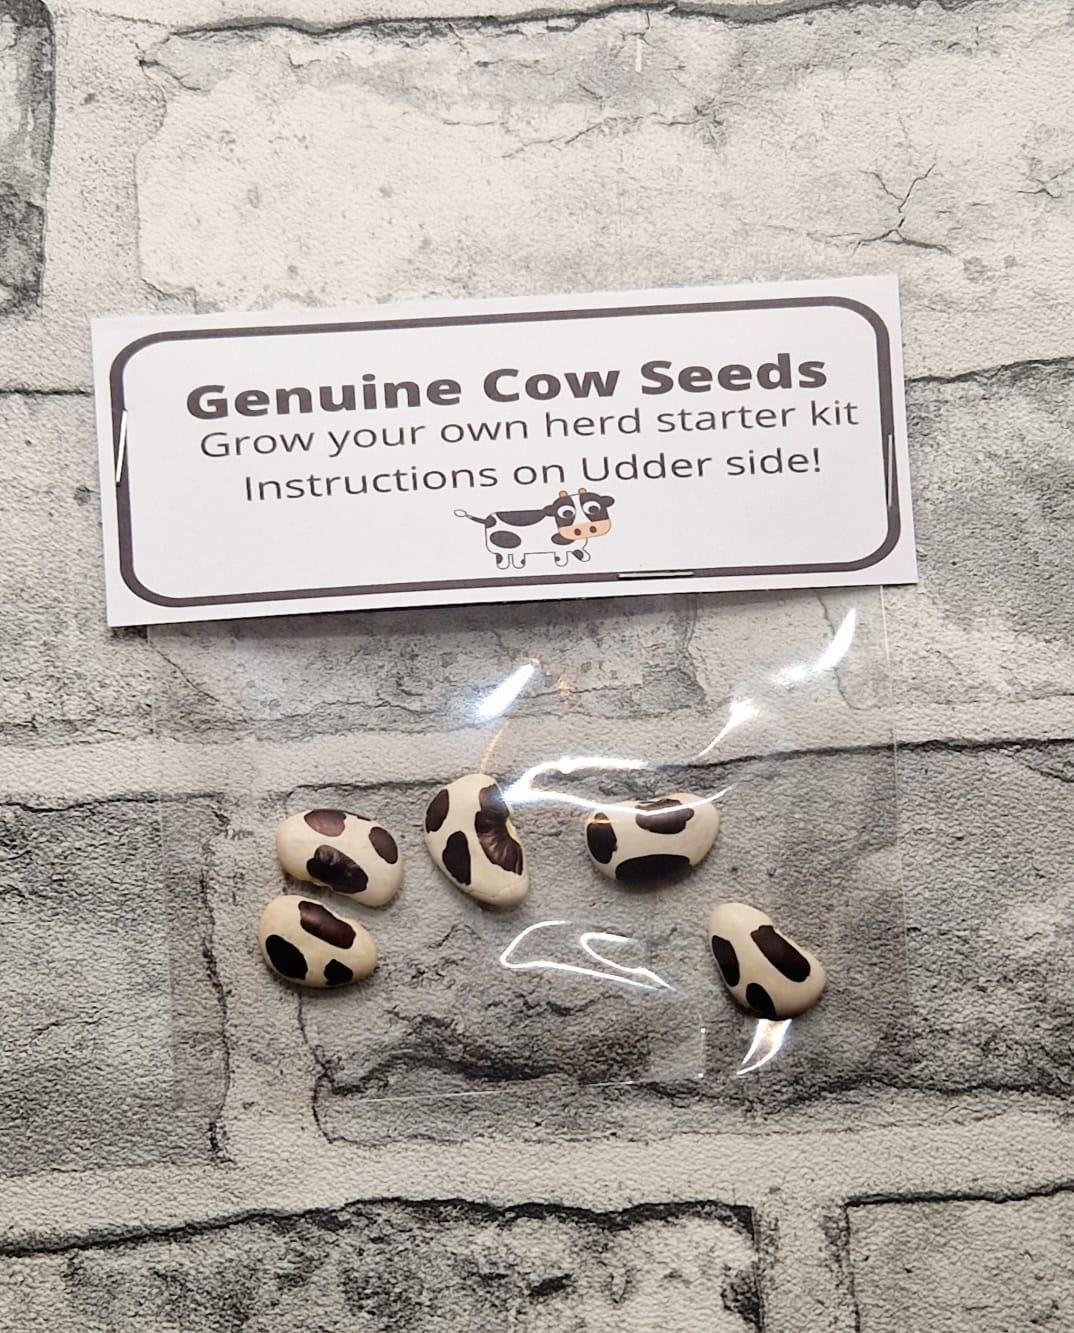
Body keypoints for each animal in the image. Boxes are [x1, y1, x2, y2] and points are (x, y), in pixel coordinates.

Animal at [455, 488, 615, 570]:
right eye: (566, 513)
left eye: (594, 508)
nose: (586, 528)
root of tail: (487, 519)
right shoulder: (559, 548)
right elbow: (561, 556)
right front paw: (561, 564)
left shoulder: (575, 546)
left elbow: (579, 551)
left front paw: (585, 557)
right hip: (505, 545)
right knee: (503, 556)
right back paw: (513, 565)